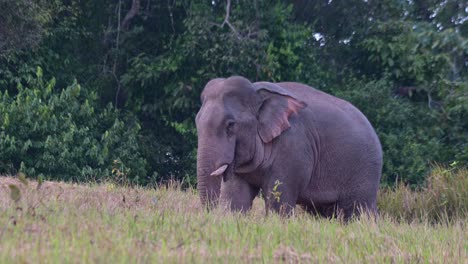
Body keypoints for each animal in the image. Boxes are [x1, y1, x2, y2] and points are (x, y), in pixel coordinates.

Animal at [196, 76, 382, 219]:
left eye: (230, 125)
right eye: (197, 122)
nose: (208, 214)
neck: (257, 91)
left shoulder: (292, 148)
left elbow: (279, 200)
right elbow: (235, 197)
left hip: (364, 172)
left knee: (356, 211)